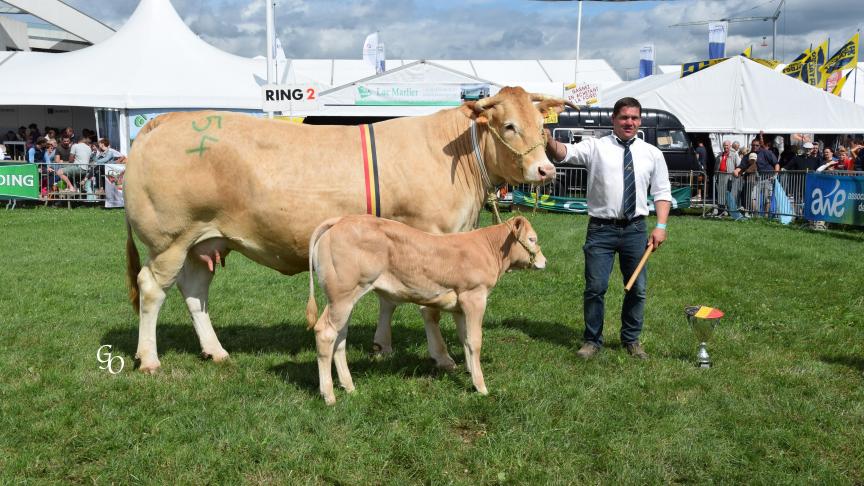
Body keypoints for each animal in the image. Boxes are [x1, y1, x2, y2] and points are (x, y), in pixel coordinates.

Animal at [125, 86, 571, 373]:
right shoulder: (431, 236)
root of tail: (165, 119)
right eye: (509, 125)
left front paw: (381, 346)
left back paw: (215, 352)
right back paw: (149, 359)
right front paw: (442, 357)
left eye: (541, 125)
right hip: (170, 240)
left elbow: (390, 299)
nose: (546, 170)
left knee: (194, 293)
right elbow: (428, 309)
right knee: (152, 288)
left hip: (204, 240)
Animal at [305, 214, 546, 404]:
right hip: (342, 296)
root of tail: (340, 220)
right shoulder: (474, 297)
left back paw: (349, 387)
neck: (487, 247)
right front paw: (481, 387)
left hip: (343, 300)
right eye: (532, 239)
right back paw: (329, 395)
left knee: (340, 338)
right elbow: (476, 341)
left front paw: (470, 371)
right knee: (325, 333)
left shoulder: (460, 307)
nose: (544, 261)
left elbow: (465, 339)